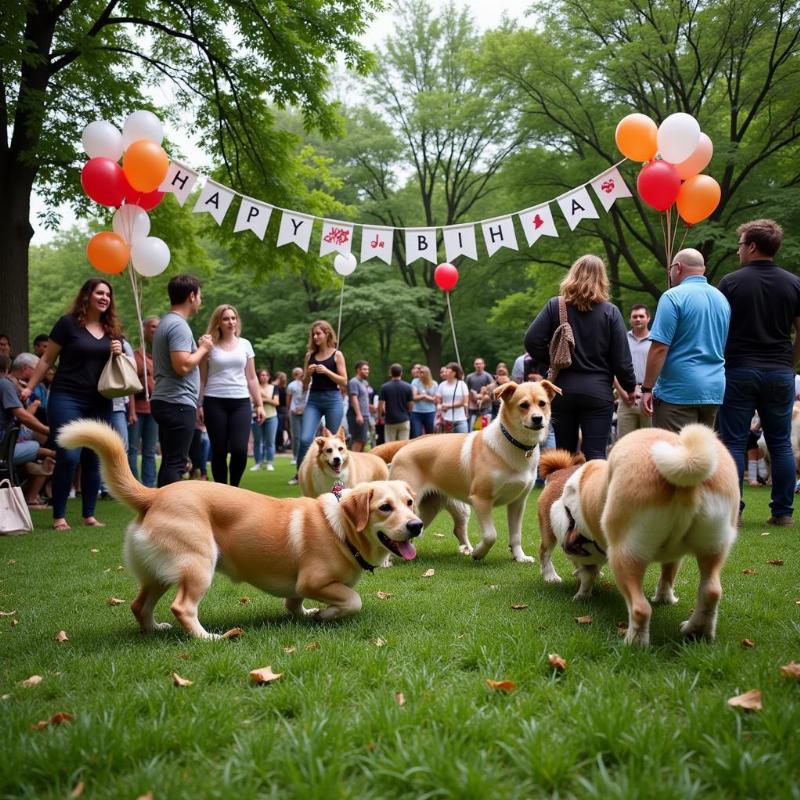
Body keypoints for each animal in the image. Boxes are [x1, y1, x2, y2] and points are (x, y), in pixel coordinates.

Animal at [57, 418, 424, 636]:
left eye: (409, 503)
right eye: (384, 508)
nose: (417, 525)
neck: (341, 528)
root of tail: (156, 494)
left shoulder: (297, 587)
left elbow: (295, 604)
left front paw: (311, 614)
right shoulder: (313, 580)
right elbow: (352, 599)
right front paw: (325, 613)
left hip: (158, 573)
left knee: (139, 605)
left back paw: (156, 629)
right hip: (198, 564)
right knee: (182, 607)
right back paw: (208, 638)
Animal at [372, 382, 560, 564]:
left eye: (542, 403)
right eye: (524, 405)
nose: (538, 418)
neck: (514, 444)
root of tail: (406, 444)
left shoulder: (518, 502)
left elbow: (516, 535)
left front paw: (520, 557)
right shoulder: (481, 500)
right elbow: (490, 535)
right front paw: (479, 553)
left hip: (443, 508)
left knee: (448, 529)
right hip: (410, 505)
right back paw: (387, 561)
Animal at [544, 424, 736, 644]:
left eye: (567, 512)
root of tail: (685, 462)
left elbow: (587, 576)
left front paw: (581, 595)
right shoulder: (674, 557)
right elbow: (667, 576)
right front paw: (664, 599)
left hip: (625, 555)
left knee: (640, 608)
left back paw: (633, 642)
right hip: (714, 547)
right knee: (711, 591)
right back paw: (696, 630)